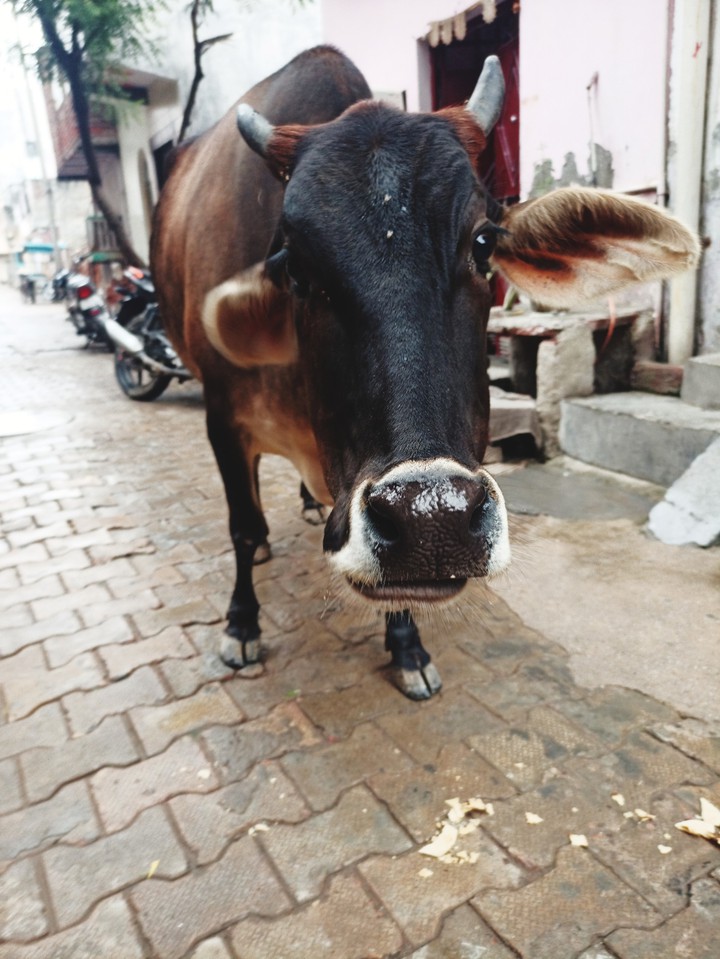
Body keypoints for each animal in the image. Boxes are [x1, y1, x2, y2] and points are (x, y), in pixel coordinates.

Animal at [152, 46, 699, 699]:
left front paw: (407, 646)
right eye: (295, 267)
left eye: (484, 243)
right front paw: (240, 625)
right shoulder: (222, 419)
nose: (431, 517)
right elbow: (240, 526)